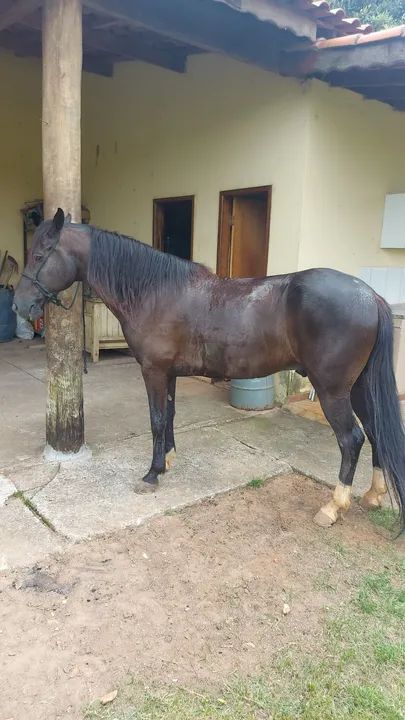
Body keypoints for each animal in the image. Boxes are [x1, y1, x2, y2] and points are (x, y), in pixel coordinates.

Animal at [13, 208, 405, 531]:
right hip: (358, 387)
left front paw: (151, 474)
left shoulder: (154, 372)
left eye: (39, 255)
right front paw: (167, 461)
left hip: (332, 390)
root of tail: (370, 296)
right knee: (375, 432)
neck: (156, 291)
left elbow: (156, 419)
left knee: (351, 439)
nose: (19, 305)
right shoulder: (168, 373)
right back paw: (372, 496)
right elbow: (169, 416)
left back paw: (333, 507)